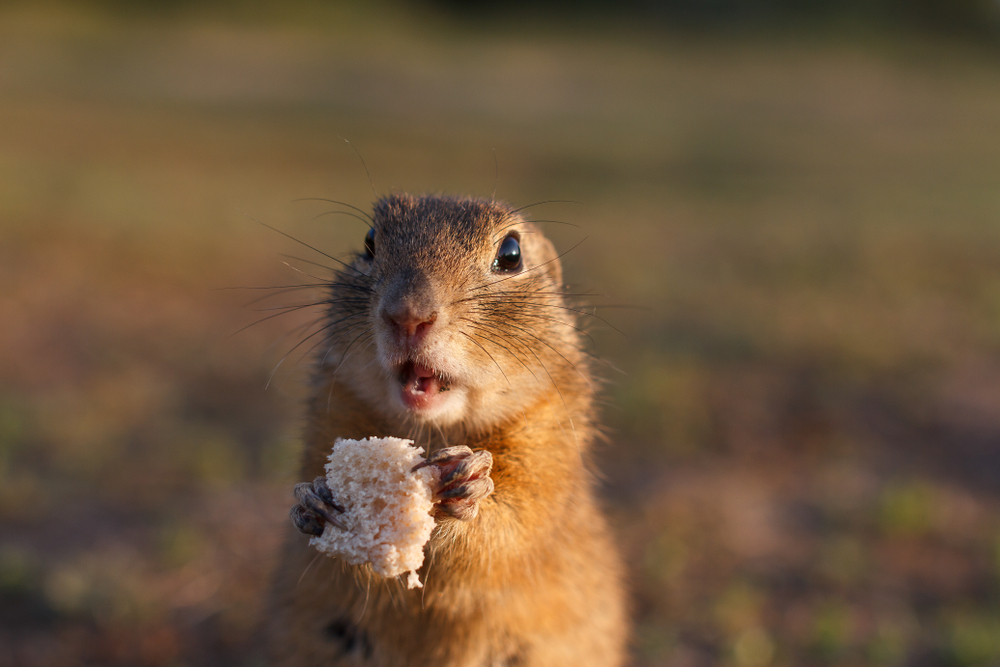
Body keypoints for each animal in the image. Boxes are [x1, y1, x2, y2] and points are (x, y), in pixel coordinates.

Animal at [264, 194, 627, 666]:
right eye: (369, 242)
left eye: (511, 253)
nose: (406, 315)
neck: (430, 432)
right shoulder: (331, 413)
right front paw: (313, 502)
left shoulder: (547, 453)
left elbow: (517, 525)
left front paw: (470, 485)